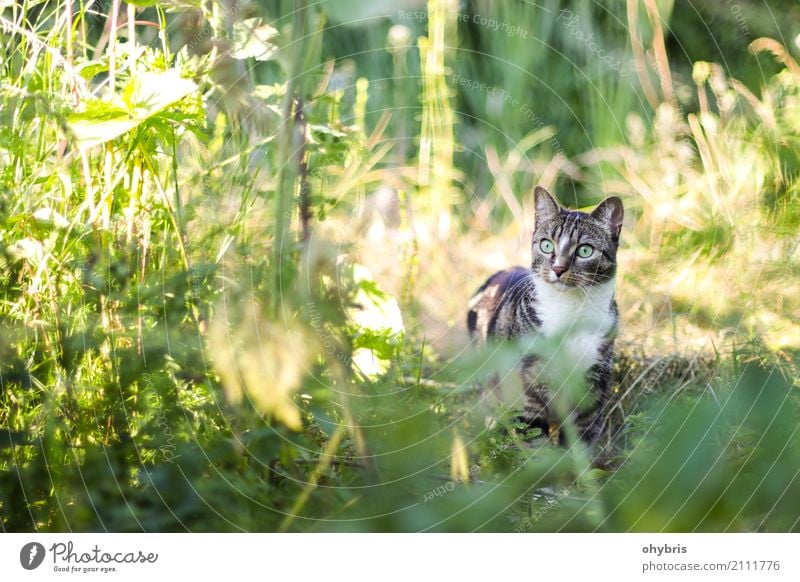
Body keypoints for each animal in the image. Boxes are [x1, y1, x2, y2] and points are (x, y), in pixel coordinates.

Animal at [468, 187, 624, 448]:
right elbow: (535, 443)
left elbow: (579, 445)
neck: (572, 312)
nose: (558, 268)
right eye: (546, 245)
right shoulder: (528, 390)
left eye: (585, 250)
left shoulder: (591, 392)